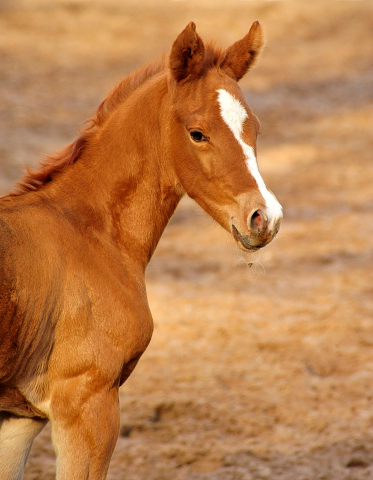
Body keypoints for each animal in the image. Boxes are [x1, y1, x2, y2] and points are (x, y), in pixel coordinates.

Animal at [0, 22, 282, 480]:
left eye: (255, 129)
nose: (265, 217)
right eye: (197, 133)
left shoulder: (18, 417)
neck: (90, 232)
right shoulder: (87, 404)